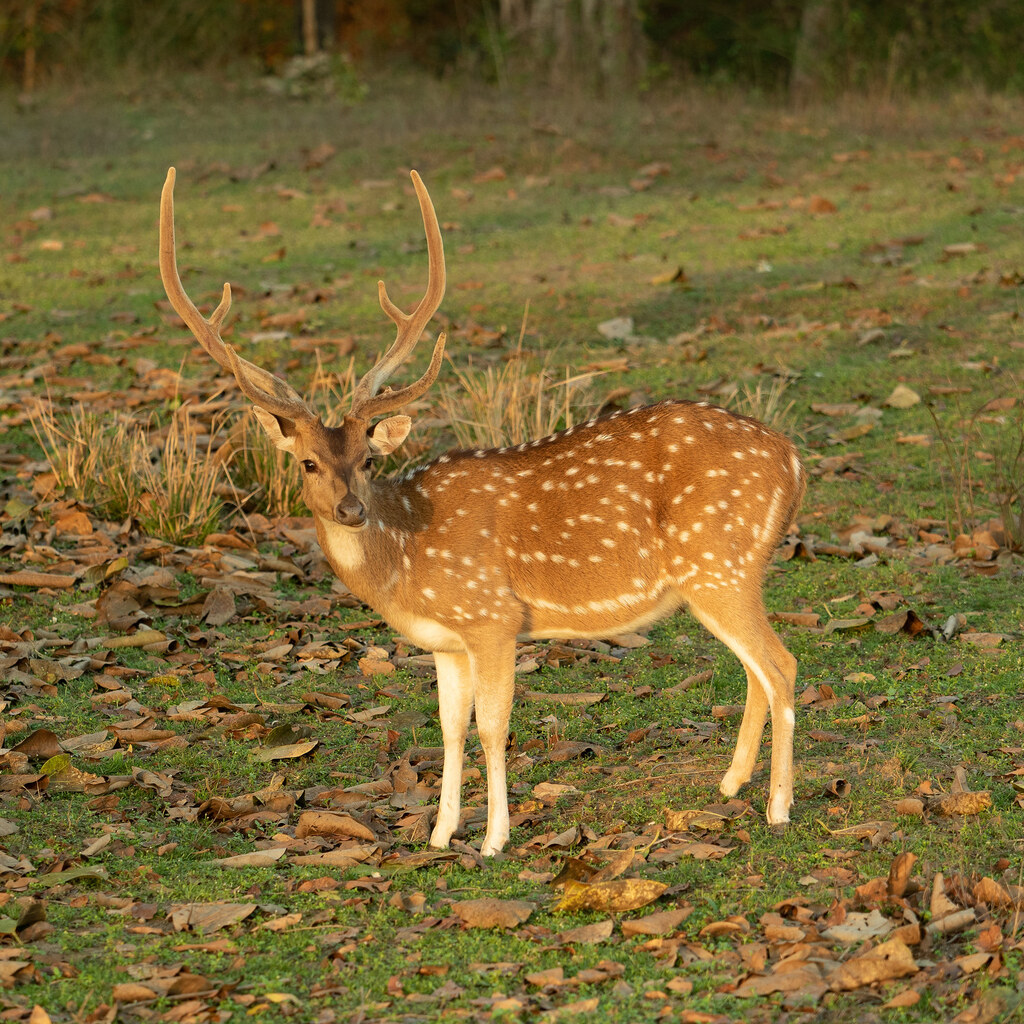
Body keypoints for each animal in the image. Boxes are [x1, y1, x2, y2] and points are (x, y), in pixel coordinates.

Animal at [158, 167, 805, 857]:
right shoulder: (448, 642)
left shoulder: (492, 617)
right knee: (757, 670)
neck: (404, 562)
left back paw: (779, 807)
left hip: (720, 563)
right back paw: (731, 784)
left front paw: (494, 838)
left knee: (782, 664)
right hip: (720, 575)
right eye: (308, 463)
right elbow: (449, 727)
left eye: (368, 458)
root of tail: (793, 461)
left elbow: (493, 727)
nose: (351, 509)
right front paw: (441, 833)